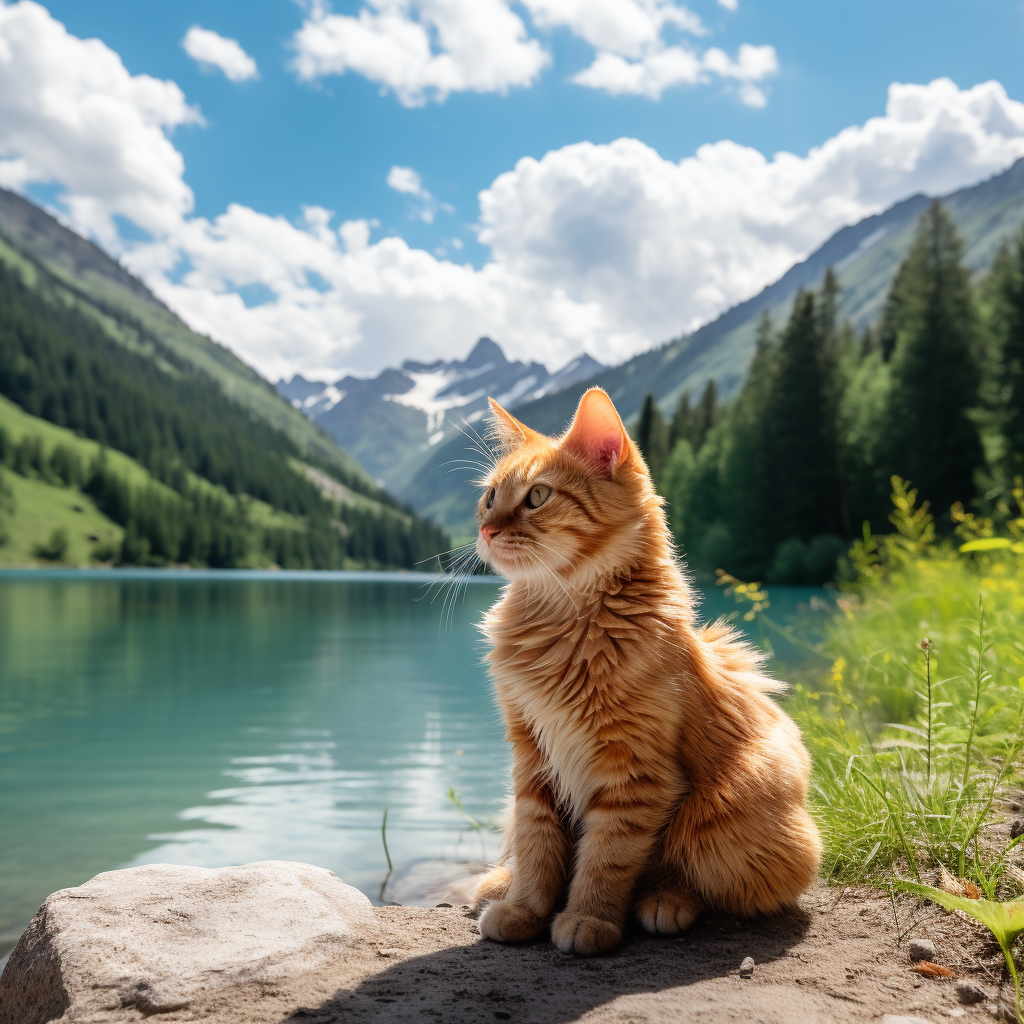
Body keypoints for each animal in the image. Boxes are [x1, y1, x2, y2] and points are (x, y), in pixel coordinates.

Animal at [468, 387, 819, 954]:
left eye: (537, 497)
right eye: (490, 496)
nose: (486, 528)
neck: (560, 622)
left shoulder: (633, 769)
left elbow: (606, 857)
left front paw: (587, 919)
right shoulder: (531, 756)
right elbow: (537, 843)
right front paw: (524, 909)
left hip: (727, 813)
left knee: (697, 879)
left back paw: (665, 902)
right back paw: (499, 883)